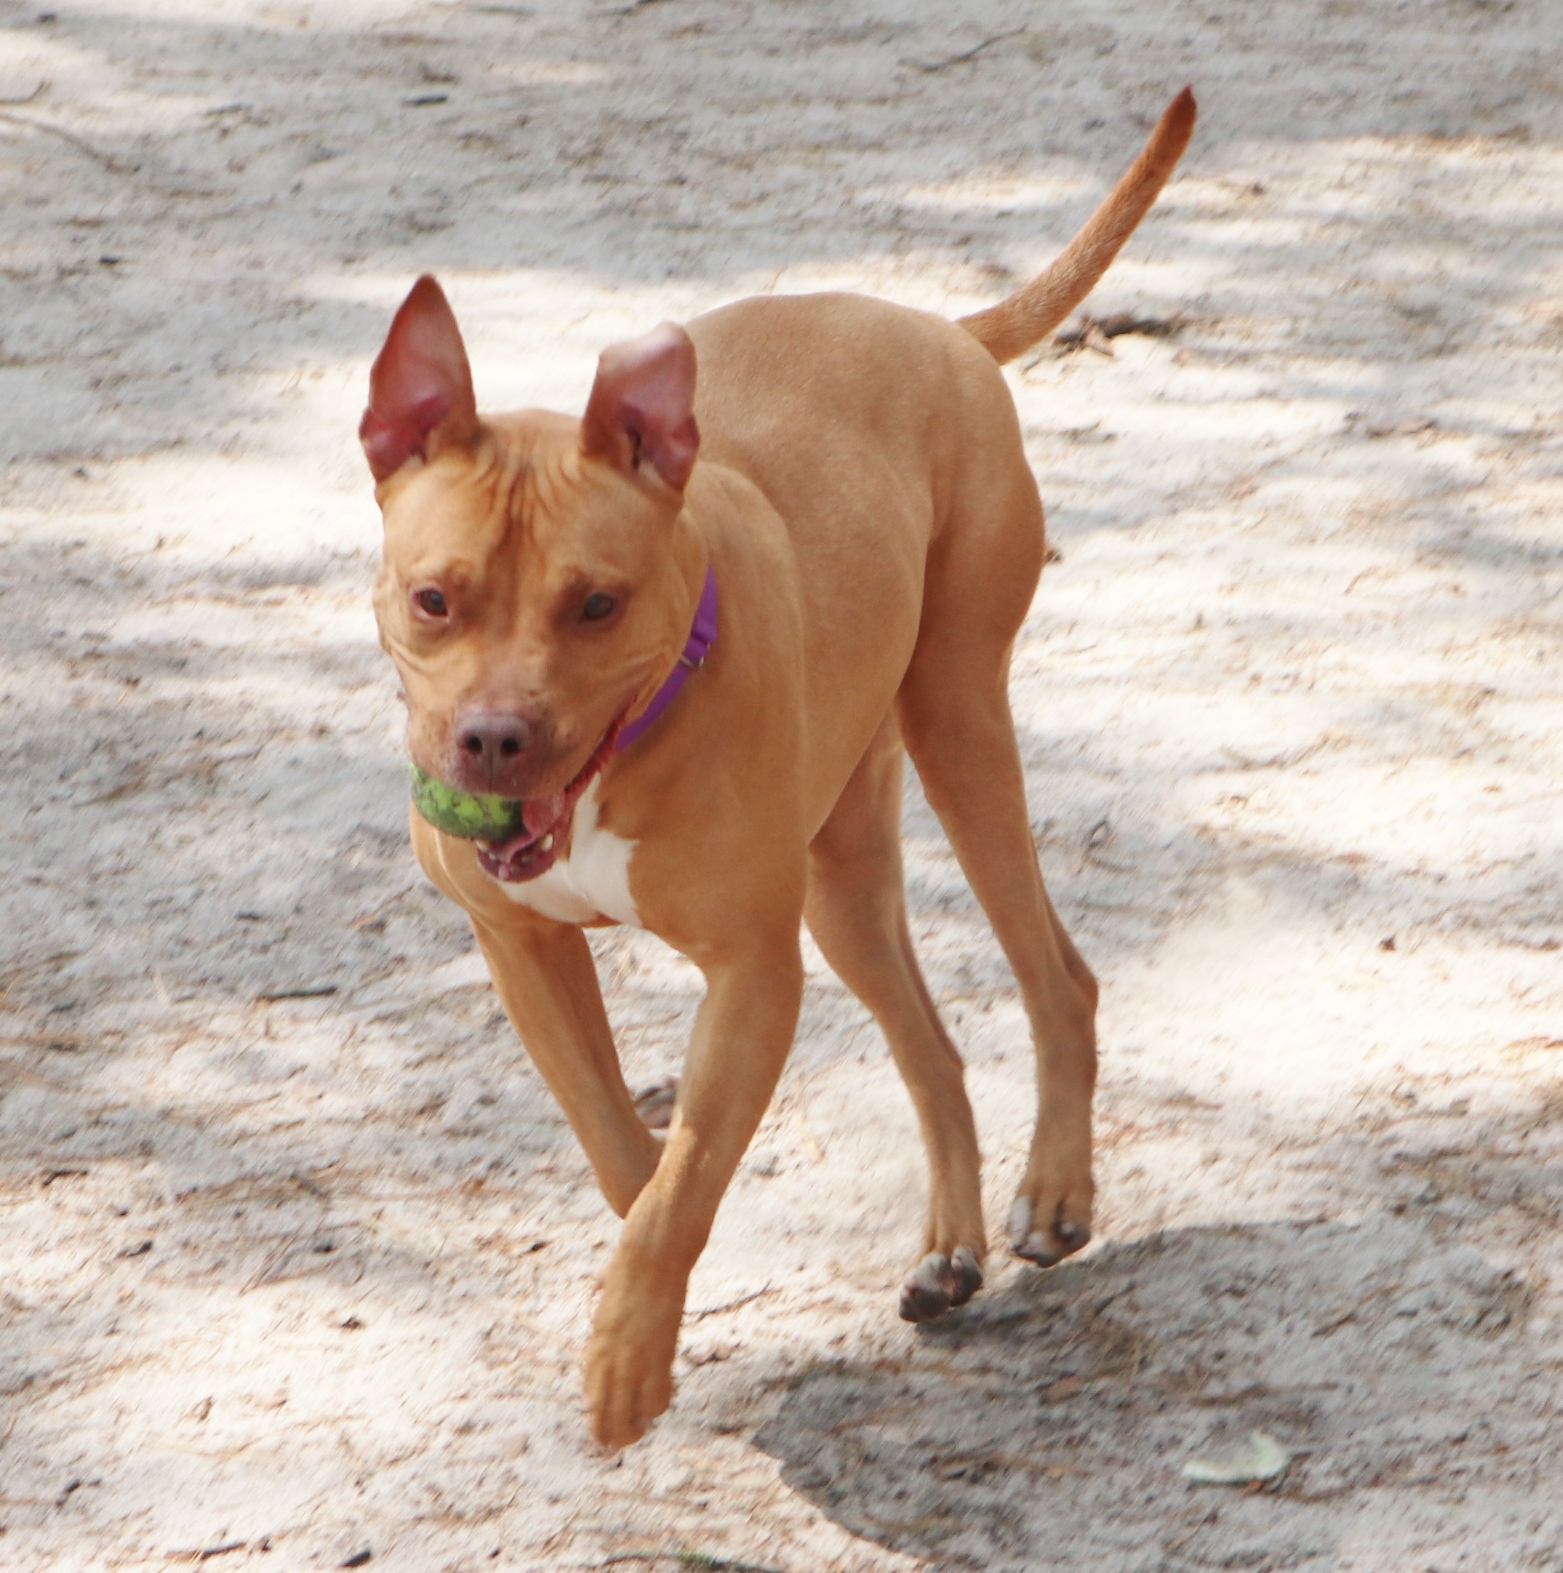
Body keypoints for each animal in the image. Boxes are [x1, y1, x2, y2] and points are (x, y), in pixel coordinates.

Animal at [363, 82, 1195, 1440]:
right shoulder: (521, 946)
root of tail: (929, 323)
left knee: (1058, 977)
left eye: (597, 604)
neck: (616, 760)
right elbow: (625, 1151)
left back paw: (1054, 1197)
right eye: (436, 598)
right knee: (930, 1043)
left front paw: (627, 1359)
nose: (492, 739)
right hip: (843, 874)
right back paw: (949, 1249)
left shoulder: (753, 972)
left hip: (960, 727)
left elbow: (684, 1173)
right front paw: (645, 1279)